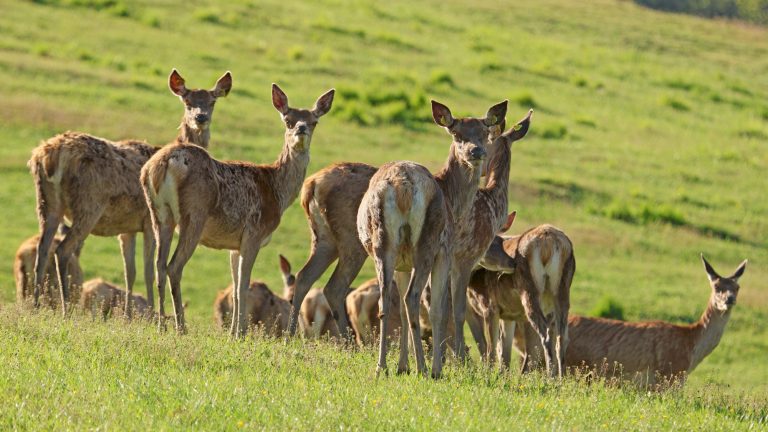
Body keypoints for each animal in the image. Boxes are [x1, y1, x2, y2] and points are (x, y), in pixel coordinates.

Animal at [27, 69, 231, 316]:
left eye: (212, 102)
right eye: (187, 101)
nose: (201, 118)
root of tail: (45, 156)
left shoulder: (127, 228)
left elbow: (129, 272)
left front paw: (127, 316)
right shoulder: (148, 220)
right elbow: (148, 270)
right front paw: (151, 315)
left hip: (46, 202)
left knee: (42, 248)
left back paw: (36, 305)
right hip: (89, 204)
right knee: (62, 250)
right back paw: (66, 309)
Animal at [142, 84, 334, 334]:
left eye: (314, 121)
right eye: (288, 120)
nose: (301, 129)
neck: (277, 191)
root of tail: (163, 163)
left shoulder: (234, 245)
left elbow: (234, 287)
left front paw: (233, 332)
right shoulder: (254, 233)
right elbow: (243, 286)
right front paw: (240, 333)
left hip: (159, 214)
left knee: (159, 266)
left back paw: (161, 327)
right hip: (194, 214)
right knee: (173, 267)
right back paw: (181, 327)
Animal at [284, 100, 508, 358]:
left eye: (484, 133)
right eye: (456, 134)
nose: (476, 152)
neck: (454, 200)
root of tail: (309, 185)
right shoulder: (450, 254)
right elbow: (444, 309)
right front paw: (454, 359)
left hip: (328, 238)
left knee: (305, 277)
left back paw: (294, 337)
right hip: (355, 242)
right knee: (337, 287)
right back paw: (353, 347)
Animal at [464, 224, 572, 376]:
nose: (511, 263)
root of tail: (549, 241)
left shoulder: (490, 307)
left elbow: (491, 348)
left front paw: (488, 375)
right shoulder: (509, 315)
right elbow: (504, 352)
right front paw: (501, 376)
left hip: (529, 292)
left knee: (544, 337)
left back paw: (549, 377)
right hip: (563, 291)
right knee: (562, 338)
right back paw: (560, 379)